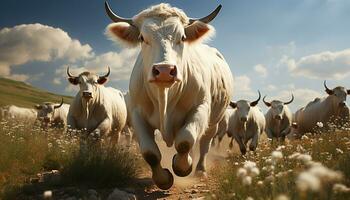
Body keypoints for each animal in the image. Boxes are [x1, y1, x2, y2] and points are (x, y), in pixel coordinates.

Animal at [105, 1, 234, 189]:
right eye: (142, 38)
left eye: (182, 37)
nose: (164, 70)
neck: (164, 97)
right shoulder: (136, 114)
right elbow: (150, 153)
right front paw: (163, 179)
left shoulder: (200, 108)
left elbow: (185, 141)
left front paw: (183, 166)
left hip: (214, 122)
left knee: (204, 143)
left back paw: (200, 169)